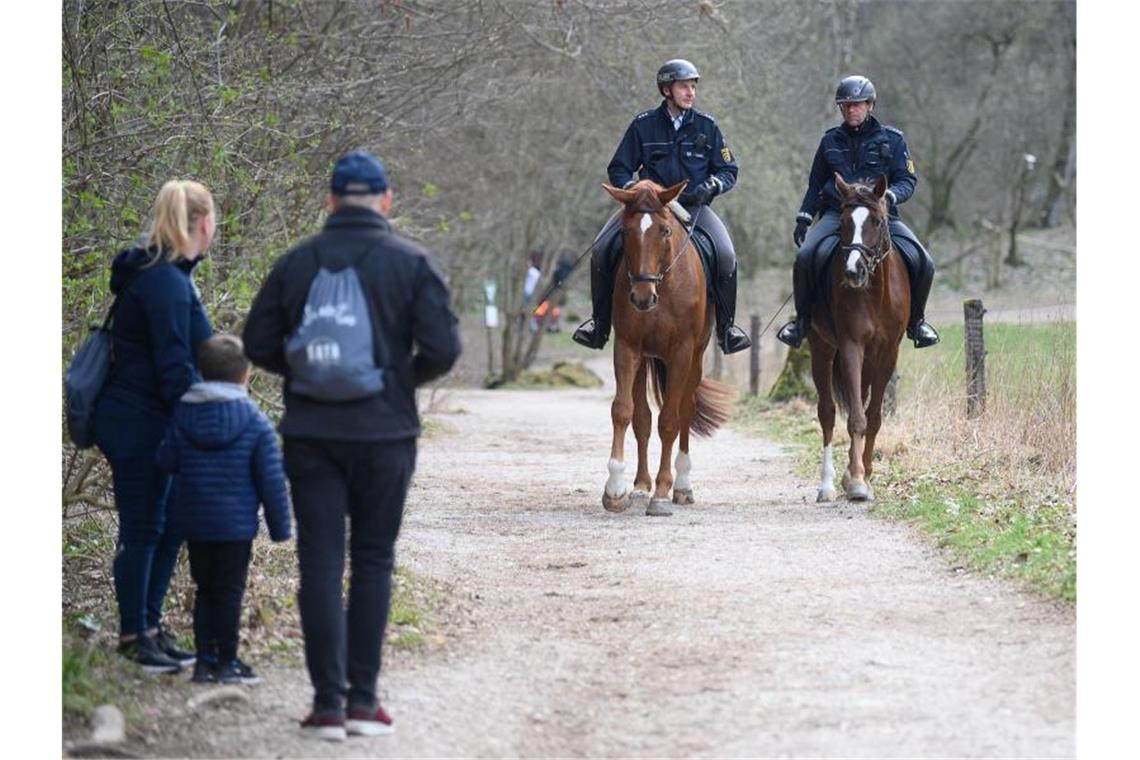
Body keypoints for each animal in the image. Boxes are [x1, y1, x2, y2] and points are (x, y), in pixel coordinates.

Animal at [601, 180, 734, 517]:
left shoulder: (681, 353)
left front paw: (662, 493)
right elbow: (624, 412)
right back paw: (639, 487)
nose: (641, 297)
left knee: (685, 410)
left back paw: (682, 486)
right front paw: (616, 489)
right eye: (625, 231)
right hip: (644, 360)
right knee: (642, 419)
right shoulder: (627, 347)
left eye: (664, 231)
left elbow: (670, 421)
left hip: (695, 359)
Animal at [811, 174, 907, 501]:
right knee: (827, 412)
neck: (875, 293)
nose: (854, 271)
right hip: (822, 348)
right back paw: (827, 485)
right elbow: (855, 417)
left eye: (877, 221)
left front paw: (863, 475)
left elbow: (873, 416)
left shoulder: (888, 352)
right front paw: (855, 481)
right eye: (843, 221)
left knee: (861, 399)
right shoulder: (852, 346)